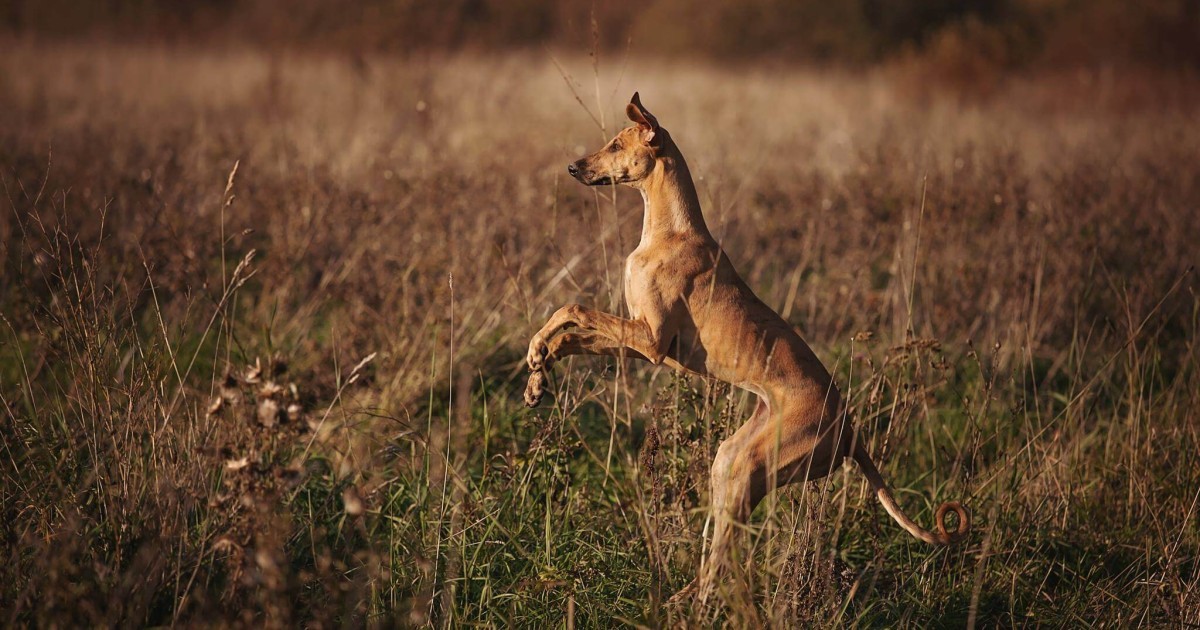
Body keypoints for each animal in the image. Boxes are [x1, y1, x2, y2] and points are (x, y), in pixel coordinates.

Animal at [523, 92, 964, 600]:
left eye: (615, 144)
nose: (572, 167)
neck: (670, 230)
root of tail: (851, 431)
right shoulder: (637, 340)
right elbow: (573, 330)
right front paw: (537, 374)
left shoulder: (650, 340)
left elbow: (573, 310)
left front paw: (538, 353)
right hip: (729, 461)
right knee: (718, 546)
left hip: (753, 467)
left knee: (722, 560)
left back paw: (694, 603)